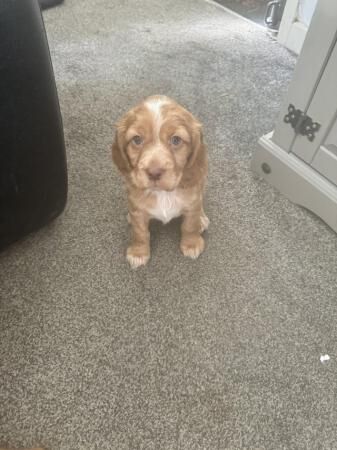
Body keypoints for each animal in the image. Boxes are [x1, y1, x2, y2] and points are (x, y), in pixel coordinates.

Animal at [111, 95, 209, 268]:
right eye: (137, 140)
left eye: (176, 140)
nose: (154, 172)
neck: (163, 194)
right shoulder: (137, 208)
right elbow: (139, 233)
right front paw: (138, 253)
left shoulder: (192, 202)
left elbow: (190, 225)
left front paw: (192, 244)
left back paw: (202, 219)